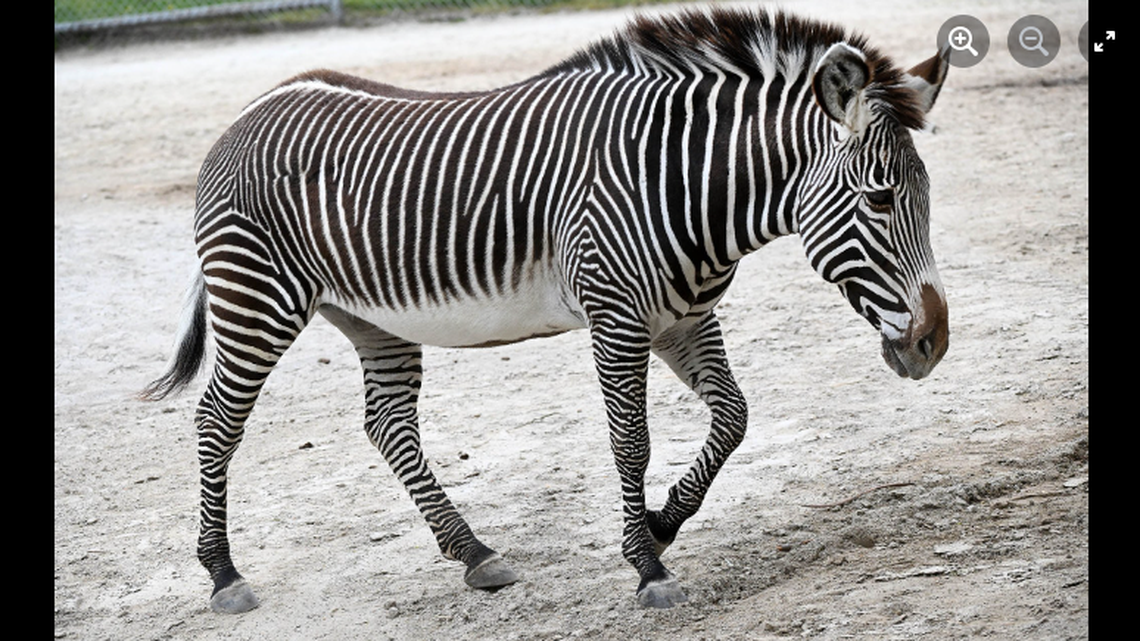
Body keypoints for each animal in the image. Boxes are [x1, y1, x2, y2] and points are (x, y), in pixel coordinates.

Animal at [142, 7, 950, 611]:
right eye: (881, 199)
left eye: (925, 194)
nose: (933, 343)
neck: (687, 184)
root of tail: (254, 105)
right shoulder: (617, 313)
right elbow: (631, 441)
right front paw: (647, 567)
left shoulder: (684, 317)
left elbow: (734, 418)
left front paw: (660, 523)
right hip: (257, 298)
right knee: (217, 421)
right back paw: (223, 574)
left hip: (373, 316)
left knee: (387, 424)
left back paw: (474, 552)